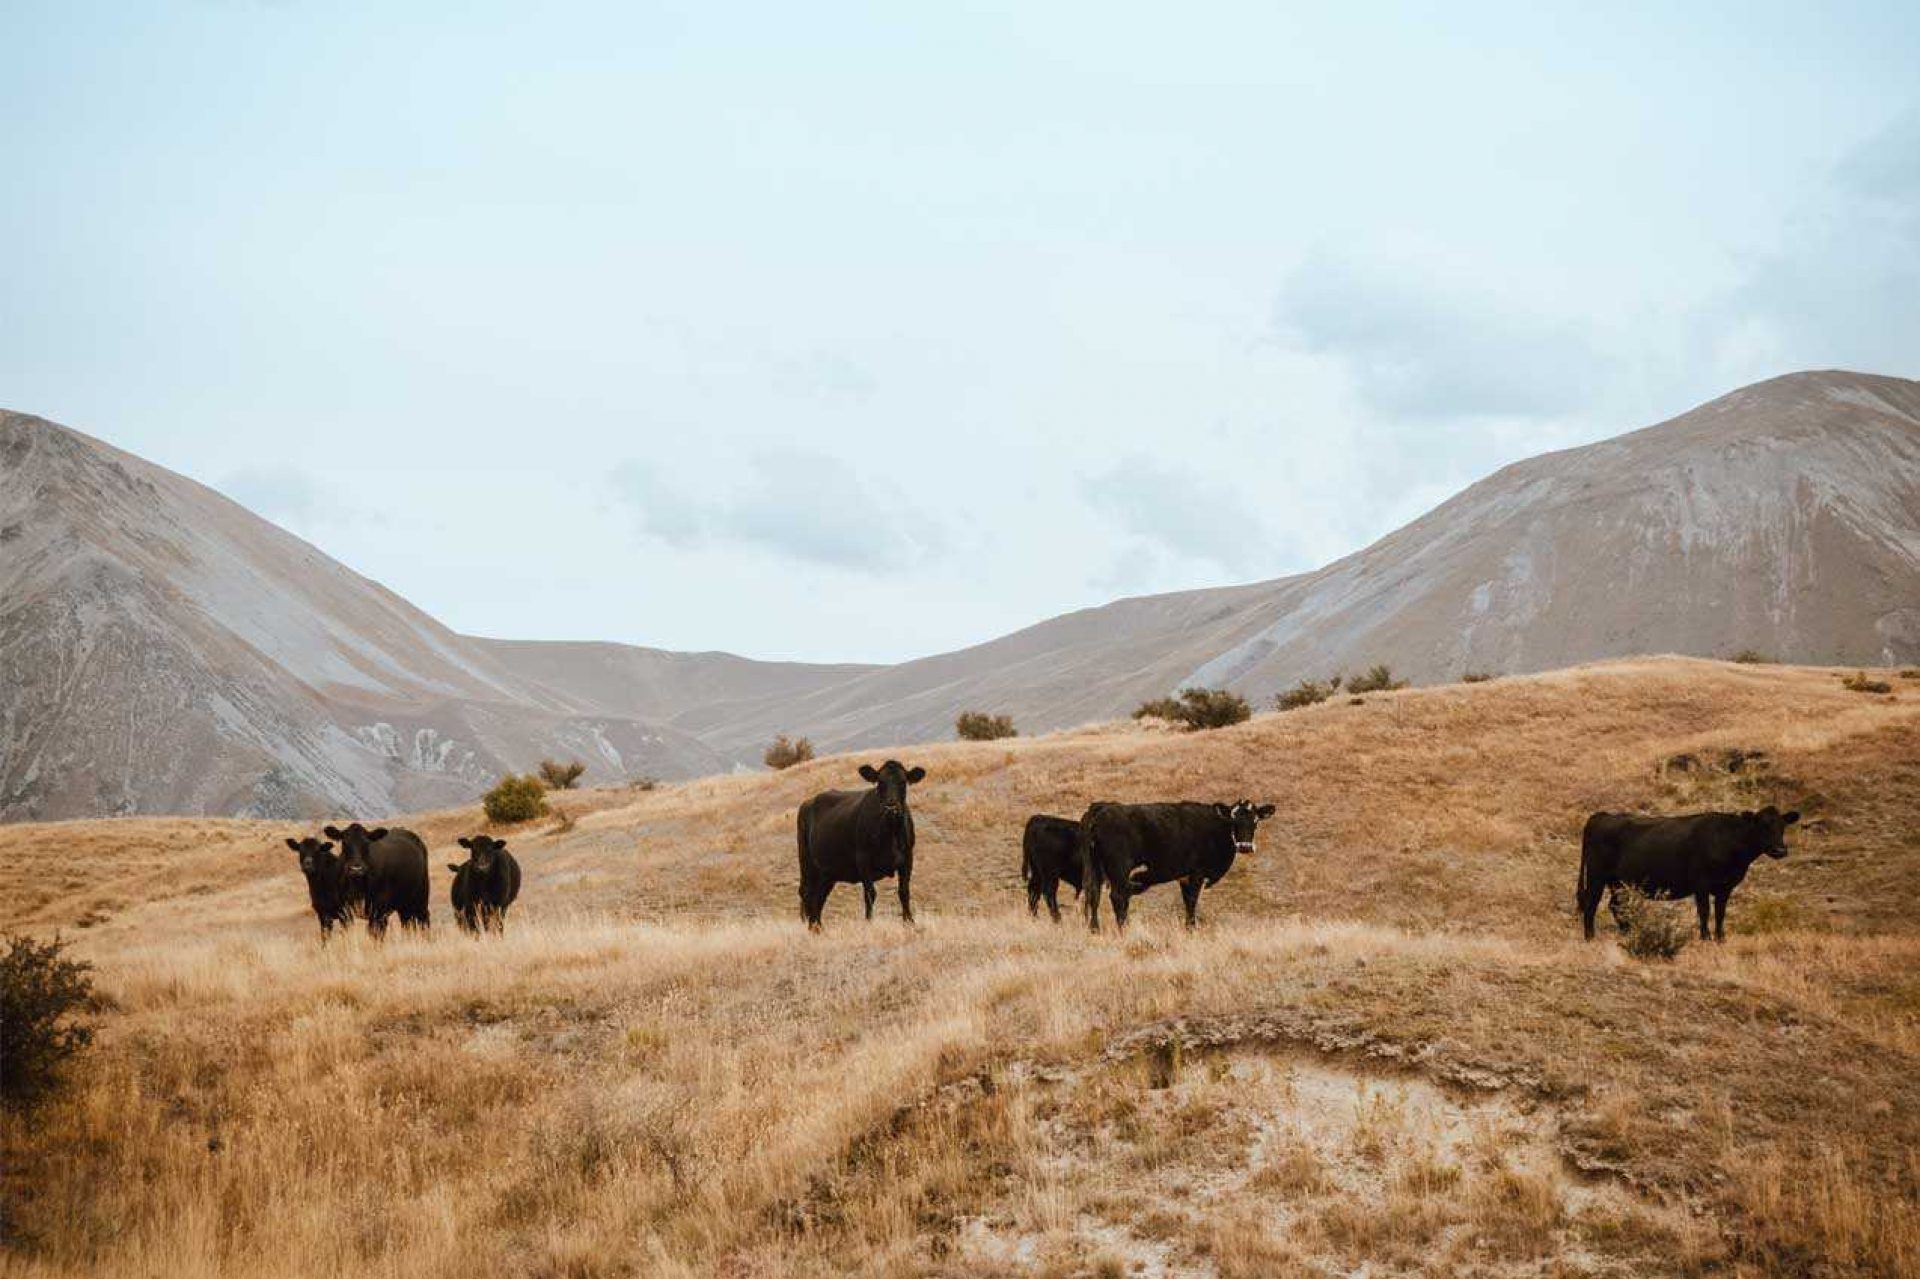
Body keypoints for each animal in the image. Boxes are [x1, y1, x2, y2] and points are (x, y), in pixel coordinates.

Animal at [798, 756, 925, 925]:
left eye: (903, 782)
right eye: (880, 782)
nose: (891, 807)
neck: (890, 832)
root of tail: (808, 801)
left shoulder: (907, 858)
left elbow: (904, 891)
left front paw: (909, 922)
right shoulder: (863, 859)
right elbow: (870, 893)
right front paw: (869, 922)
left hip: (827, 872)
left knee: (818, 898)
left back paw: (817, 928)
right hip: (807, 862)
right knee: (806, 893)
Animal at [1082, 798, 1274, 925]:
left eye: (1255, 821)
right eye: (1233, 820)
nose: (1245, 847)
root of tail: (1102, 807)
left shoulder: (1184, 877)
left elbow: (1187, 902)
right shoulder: (1196, 873)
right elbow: (1192, 901)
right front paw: (1191, 928)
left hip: (1095, 868)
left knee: (1094, 895)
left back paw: (1095, 930)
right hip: (1119, 869)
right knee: (1117, 897)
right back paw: (1123, 929)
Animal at [1574, 802, 1797, 941]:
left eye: (1783, 826)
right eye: (1762, 825)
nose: (1780, 850)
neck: (1727, 840)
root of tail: (1601, 816)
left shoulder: (1726, 886)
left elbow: (1721, 912)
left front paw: (1720, 938)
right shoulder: (1701, 882)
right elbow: (1704, 911)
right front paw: (1705, 938)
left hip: (1618, 882)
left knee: (1616, 905)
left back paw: (1628, 933)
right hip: (1597, 876)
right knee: (1592, 904)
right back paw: (1590, 937)